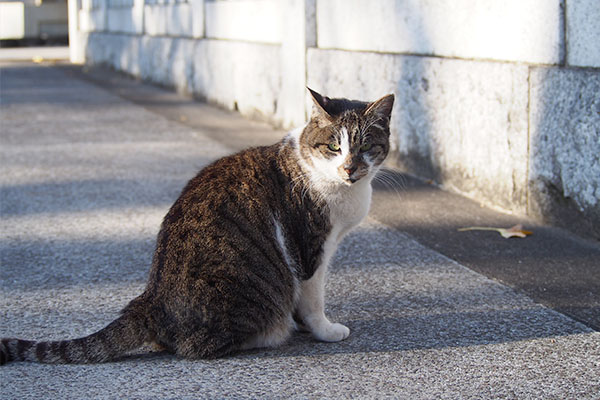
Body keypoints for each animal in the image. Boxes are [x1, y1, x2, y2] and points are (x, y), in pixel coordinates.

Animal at [0, 87, 394, 362]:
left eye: (365, 147)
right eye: (333, 147)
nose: (350, 168)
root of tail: (149, 300)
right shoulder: (311, 247)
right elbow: (313, 299)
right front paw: (324, 330)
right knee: (196, 346)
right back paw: (273, 331)